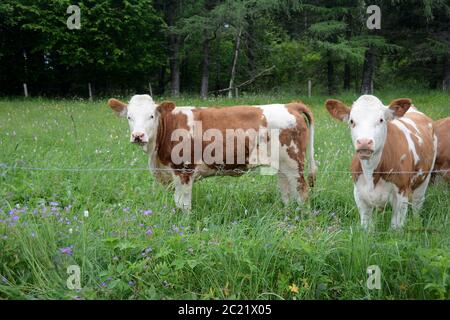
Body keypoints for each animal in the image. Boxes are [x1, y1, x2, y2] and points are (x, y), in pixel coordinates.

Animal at [108, 95, 316, 210]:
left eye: (151, 116)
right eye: (129, 117)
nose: (138, 135)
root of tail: (290, 105)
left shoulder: (184, 170)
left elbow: (183, 204)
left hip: (294, 163)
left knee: (302, 191)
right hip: (281, 165)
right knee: (286, 192)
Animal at [326, 95, 438, 230]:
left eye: (381, 120)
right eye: (352, 121)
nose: (364, 142)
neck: (371, 172)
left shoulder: (402, 193)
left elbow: (396, 227)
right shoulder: (359, 194)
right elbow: (366, 226)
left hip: (425, 178)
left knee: (417, 203)